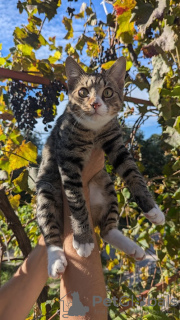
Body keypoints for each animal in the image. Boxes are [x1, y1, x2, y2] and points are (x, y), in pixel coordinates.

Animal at [35, 57, 165, 278]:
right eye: (83, 92)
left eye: (108, 92)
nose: (95, 103)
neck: (94, 130)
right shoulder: (67, 156)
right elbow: (77, 199)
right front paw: (83, 240)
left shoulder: (116, 143)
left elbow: (133, 173)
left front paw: (153, 209)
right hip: (46, 189)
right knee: (50, 229)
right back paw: (55, 260)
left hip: (107, 184)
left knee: (107, 230)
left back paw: (133, 248)